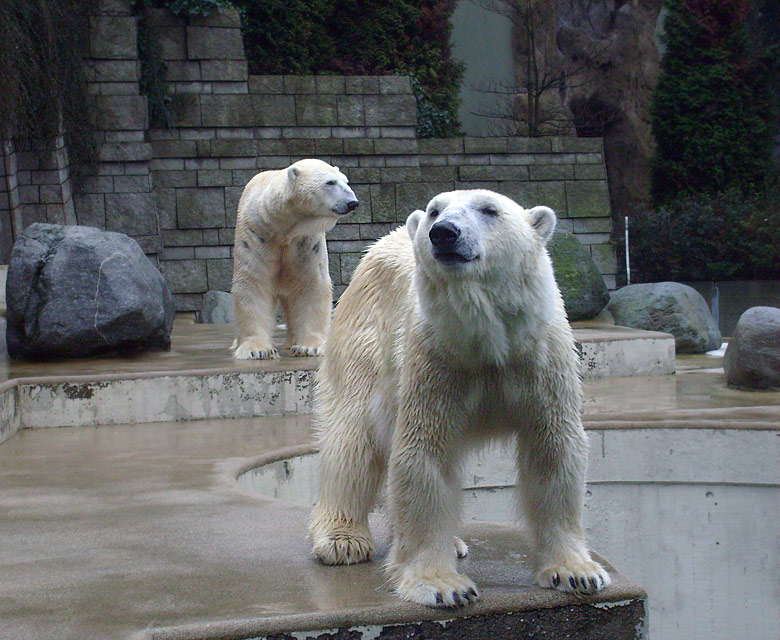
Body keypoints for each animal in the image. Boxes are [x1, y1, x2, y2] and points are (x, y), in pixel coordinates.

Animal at [229, 159, 356, 360]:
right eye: (330, 182)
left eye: (346, 181)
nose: (352, 203)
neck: (282, 228)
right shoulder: (256, 235)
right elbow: (253, 283)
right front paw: (257, 350)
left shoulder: (306, 241)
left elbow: (311, 284)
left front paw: (310, 347)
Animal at [310, 189, 608, 604]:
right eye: (435, 210)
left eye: (489, 209)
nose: (444, 232)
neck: (486, 339)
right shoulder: (435, 359)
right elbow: (424, 457)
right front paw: (441, 585)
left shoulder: (540, 359)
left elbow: (553, 452)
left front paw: (576, 572)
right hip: (365, 338)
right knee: (352, 438)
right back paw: (342, 540)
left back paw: (450, 542)